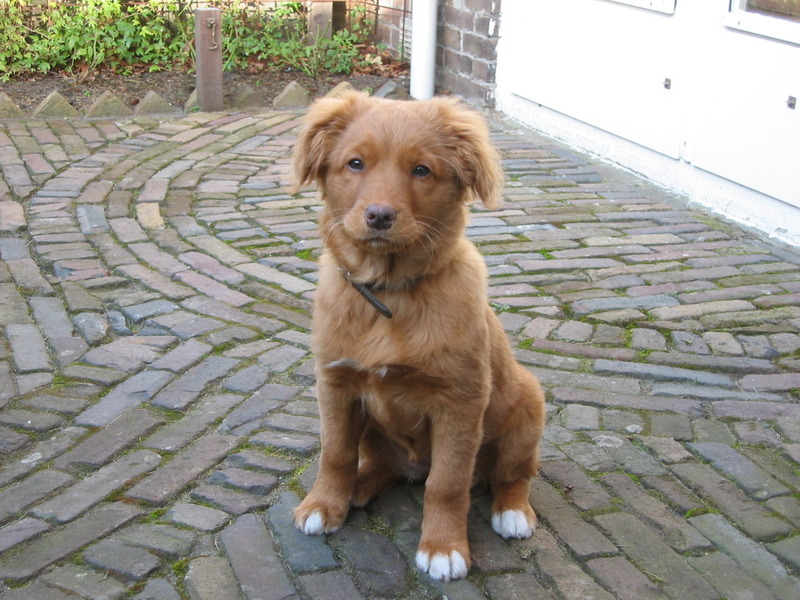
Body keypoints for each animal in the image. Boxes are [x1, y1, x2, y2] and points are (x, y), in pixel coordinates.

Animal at [290, 92, 548, 580]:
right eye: (355, 163)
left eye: (422, 170)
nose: (379, 216)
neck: (389, 294)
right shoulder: (335, 384)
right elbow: (335, 453)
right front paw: (323, 504)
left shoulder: (460, 401)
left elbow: (446, 484)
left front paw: (443, 547)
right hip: (374, 430)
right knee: (380, 465)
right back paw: (358, 488)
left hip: (527, 409)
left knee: (513, 475)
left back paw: (512, 512)